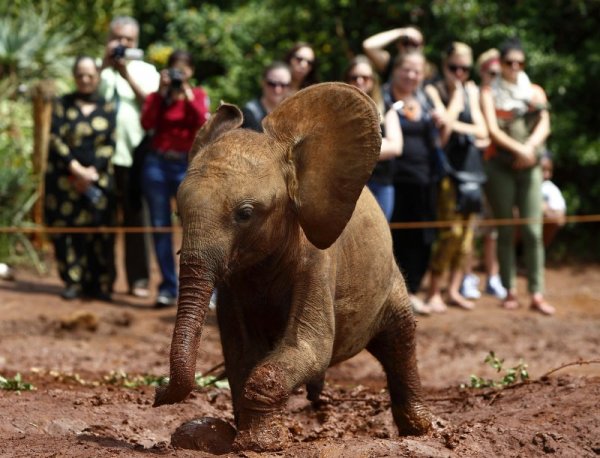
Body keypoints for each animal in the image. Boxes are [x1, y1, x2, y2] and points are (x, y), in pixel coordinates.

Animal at [154, 82, 432, 450]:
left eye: (245, 213)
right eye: (178, 213)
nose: (157, 393)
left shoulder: (318, 262)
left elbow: (311, 346)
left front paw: (258, 445)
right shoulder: (233, 283)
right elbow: (241, 352)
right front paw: (244, 439)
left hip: (390, 280)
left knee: (401, 341)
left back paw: (422, 429)